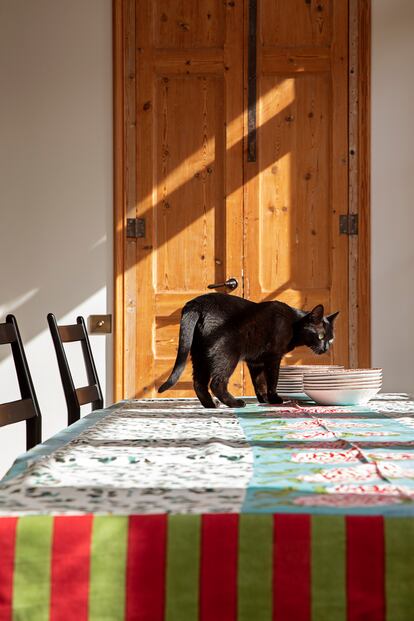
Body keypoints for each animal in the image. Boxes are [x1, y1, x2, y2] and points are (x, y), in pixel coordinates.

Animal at [158, 294, 340, 410]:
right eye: (320, 336)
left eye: (331, 339)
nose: (325, 348)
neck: (293, 323)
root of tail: (197, 303)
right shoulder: (273, 357)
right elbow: (272, 380)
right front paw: (275, 399)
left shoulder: (256, 362)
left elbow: (259, 382)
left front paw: (264, 399)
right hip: (226, 354)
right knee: (216, 382)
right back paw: (235, 403)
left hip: (199, 354)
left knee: (199, 383)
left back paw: (211, 405)